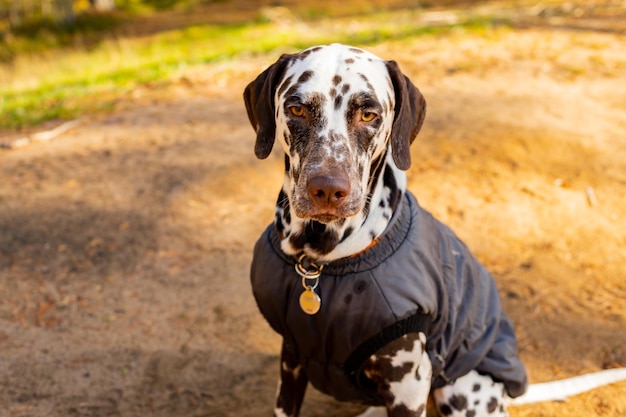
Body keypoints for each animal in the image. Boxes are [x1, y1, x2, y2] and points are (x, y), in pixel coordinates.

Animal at [243, 44, 624, 414]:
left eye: (368, 114)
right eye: (297, 109)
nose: (327, 189)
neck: (319, 263)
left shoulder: (407, 383)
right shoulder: (291, 361)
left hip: (460, 389)